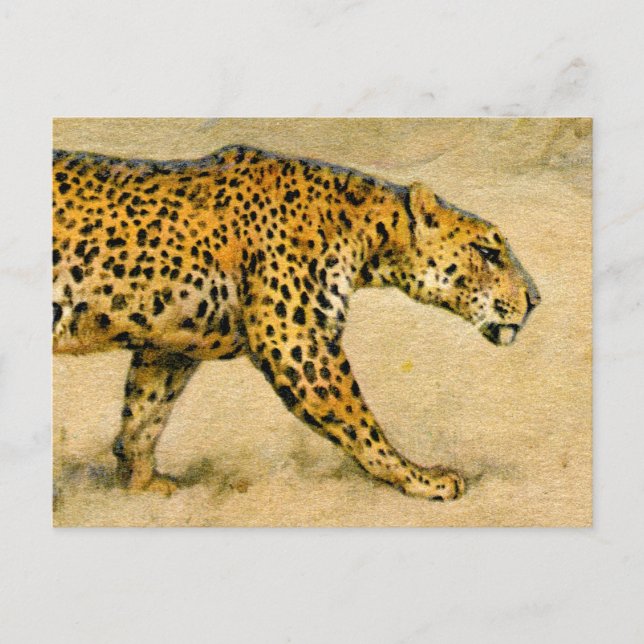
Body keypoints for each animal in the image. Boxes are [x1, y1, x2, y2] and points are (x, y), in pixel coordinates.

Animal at [52, 144, 540, 500]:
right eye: (489, 253)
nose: (536, 299)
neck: (365, 230)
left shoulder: (171, 344)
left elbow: (145, 413)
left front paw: (140, 483)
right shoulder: (299, 345)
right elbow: (362, 426)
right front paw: (422, 479)